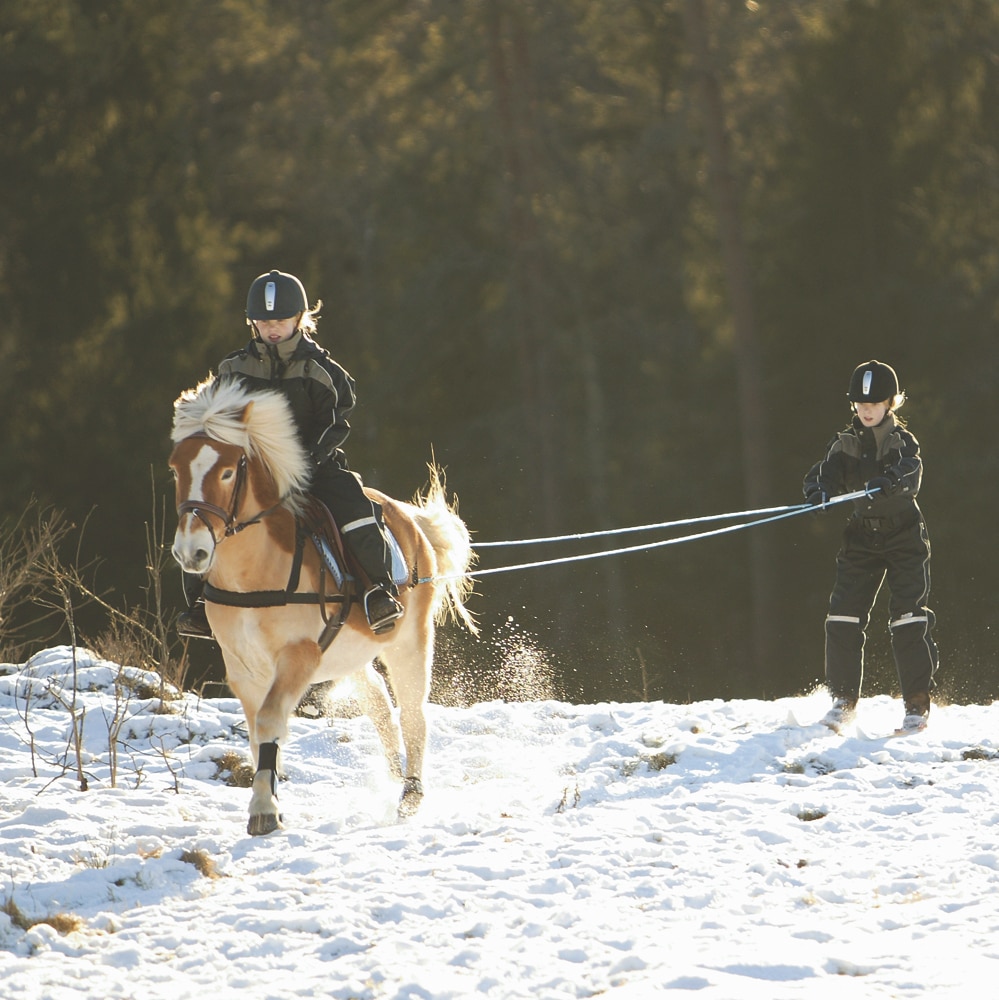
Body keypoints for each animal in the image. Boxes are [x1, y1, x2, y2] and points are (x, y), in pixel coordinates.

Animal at [170, 376, 478, 836]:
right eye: (175, 468)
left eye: (226, 471)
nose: (191, 552)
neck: (254, 575)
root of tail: (410, 518)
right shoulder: (242, 667)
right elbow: (259, 734)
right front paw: (270, 800)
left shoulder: (299, 655)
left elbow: (270, 720)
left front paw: (264, 810)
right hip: (352, 654)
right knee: (380, 705)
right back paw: (393, 775)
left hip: (408, 642)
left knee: (413, 714)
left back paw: (410, 794)